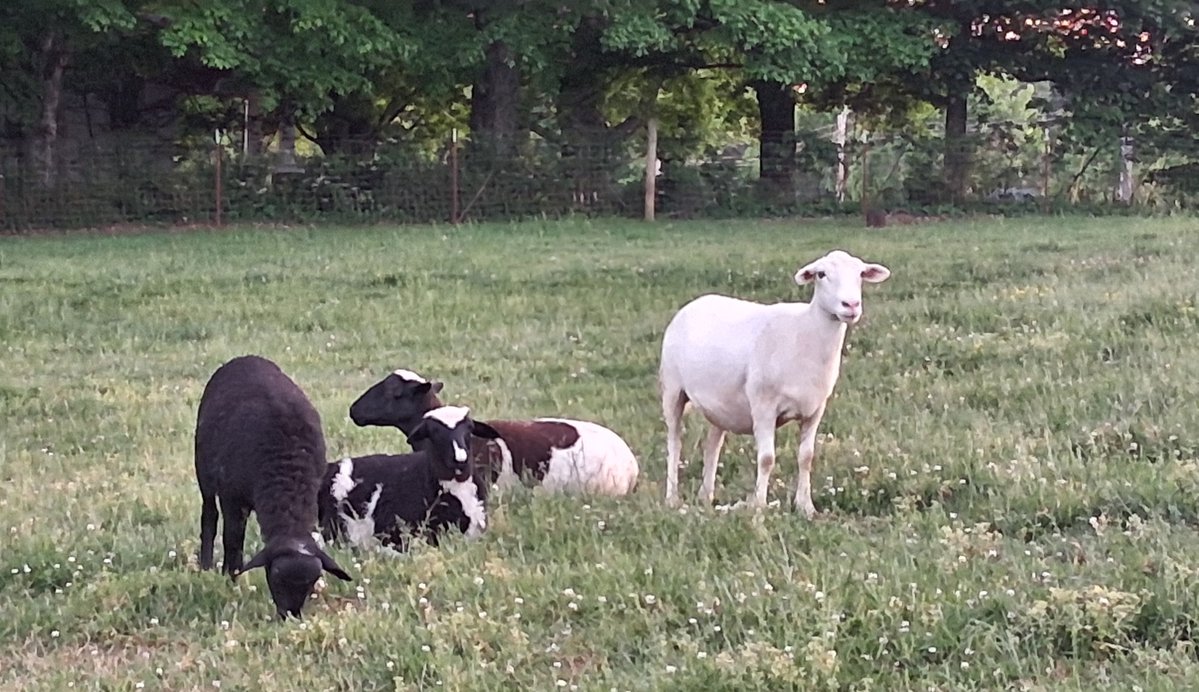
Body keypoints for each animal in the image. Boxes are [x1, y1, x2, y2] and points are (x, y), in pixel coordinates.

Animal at [195, 354, 352, 619]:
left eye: (311, 583)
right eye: (276, 578)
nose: (289, 616)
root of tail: (246, 358)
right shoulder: (232, 497)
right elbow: (232, 541)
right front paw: (231, 578)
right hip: (203, 469)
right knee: (209, 515)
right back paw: (205, 565)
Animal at [658, 250, 891, 517]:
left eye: (861, 273)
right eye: (821, 274)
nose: (851, 305)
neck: (805, 333)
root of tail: (694, 304)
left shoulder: (815, 409)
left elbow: (806, 457)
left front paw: (806, 507)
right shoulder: (763, 406)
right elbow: (767, 458)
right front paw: (759, 506)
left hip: (719, 404)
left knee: (712, 445)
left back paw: (706, 497)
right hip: (672, 389)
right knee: (674, 442)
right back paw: (672, 498)